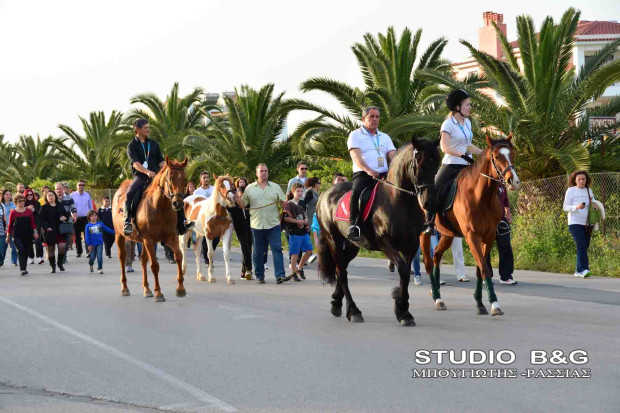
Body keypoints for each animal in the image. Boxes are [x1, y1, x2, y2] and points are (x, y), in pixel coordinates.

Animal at [112, 156, 188, 302]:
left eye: (185, 179)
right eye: (170, 178)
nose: (177, 203)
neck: (159, 207)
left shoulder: (171, 237)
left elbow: (179, 257)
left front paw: (180, 288)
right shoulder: (149, 239)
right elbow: (154, 265)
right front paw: (158, 293)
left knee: (143, 260)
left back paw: (146, 289)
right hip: (120, 236)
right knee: (122, 258)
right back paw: (125, 288)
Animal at [316, 137, 441, 326]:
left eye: (437, 163)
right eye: (419, 164)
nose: (430, 202)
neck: (399, 201)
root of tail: (325, 194)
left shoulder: (411, 246)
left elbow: (405, 273)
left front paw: (402, 309)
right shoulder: (385, 244)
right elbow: (403, 270)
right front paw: (401, 306)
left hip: (352, 245)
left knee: (341, 268)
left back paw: (336, 303)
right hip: (334, 240)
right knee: (341, 272)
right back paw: (353, 311)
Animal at [422, 135, 521, 316]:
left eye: (512, 153)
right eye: (497, 156)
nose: (513, 181)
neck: (480, 196)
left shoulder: (488, 236)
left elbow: (480, 268)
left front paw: (480, 303)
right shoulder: (471, 235)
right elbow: (484, 268)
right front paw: (494, 304)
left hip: (447, 234)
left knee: (436, 256)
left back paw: (437, 293)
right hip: (423, 233)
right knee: (428, 261)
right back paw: (437, 297)